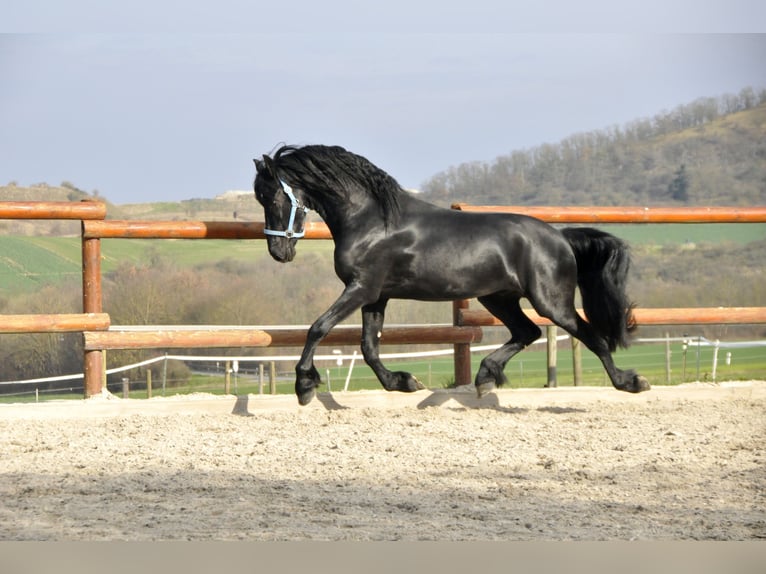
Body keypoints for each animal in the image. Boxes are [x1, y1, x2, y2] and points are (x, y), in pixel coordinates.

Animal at [255, 145, 652, 404]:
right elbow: (369, 345)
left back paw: (630, 382)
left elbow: (319, 327)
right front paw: (402, 382)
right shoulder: (376, 295)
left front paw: (305, 386)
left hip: (551, 301)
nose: (279, 252)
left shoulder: (361, 289)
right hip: (497, 297)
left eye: (272, 197)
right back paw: (485, 377)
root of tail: (560, 237)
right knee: (528, 332)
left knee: (590, 336)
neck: (372, 220)